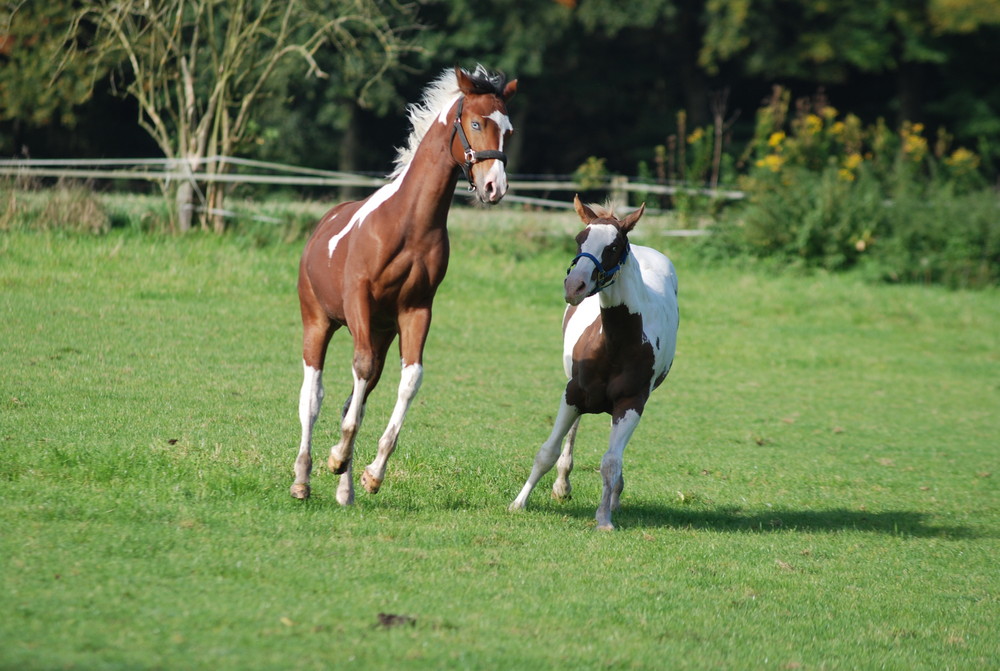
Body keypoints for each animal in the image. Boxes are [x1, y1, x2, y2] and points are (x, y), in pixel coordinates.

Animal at [508, 194, 680, 532]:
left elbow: (611, 462)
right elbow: (546, 452)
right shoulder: (572, 393)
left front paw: (604, 517)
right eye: (579, 240)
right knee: (572, 433)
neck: (615, 345)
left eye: (613, 247)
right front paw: (519, 503)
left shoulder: (631, 404)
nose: (574, 285)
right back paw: (562, 485)